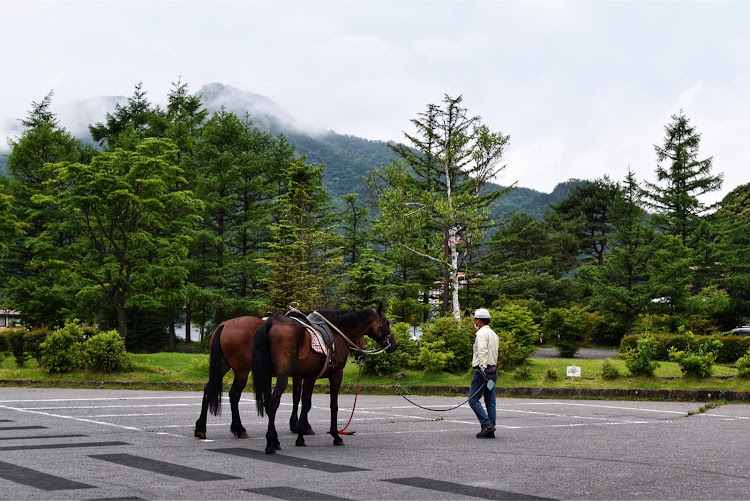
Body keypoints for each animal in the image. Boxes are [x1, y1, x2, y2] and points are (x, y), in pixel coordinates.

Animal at [253, 304, 396, 454]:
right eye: (387, 322)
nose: (394, 345)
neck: (337, 334)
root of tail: (270, 323)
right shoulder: (336, 375)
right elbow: (333, 405)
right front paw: (336, 435)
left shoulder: (310, 377)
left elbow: (306, 403)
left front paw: (301, 436)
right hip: (283, 376)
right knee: (274, 402)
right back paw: (271, 442)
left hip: (267, 375)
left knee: (268, 402)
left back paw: (275, 440)